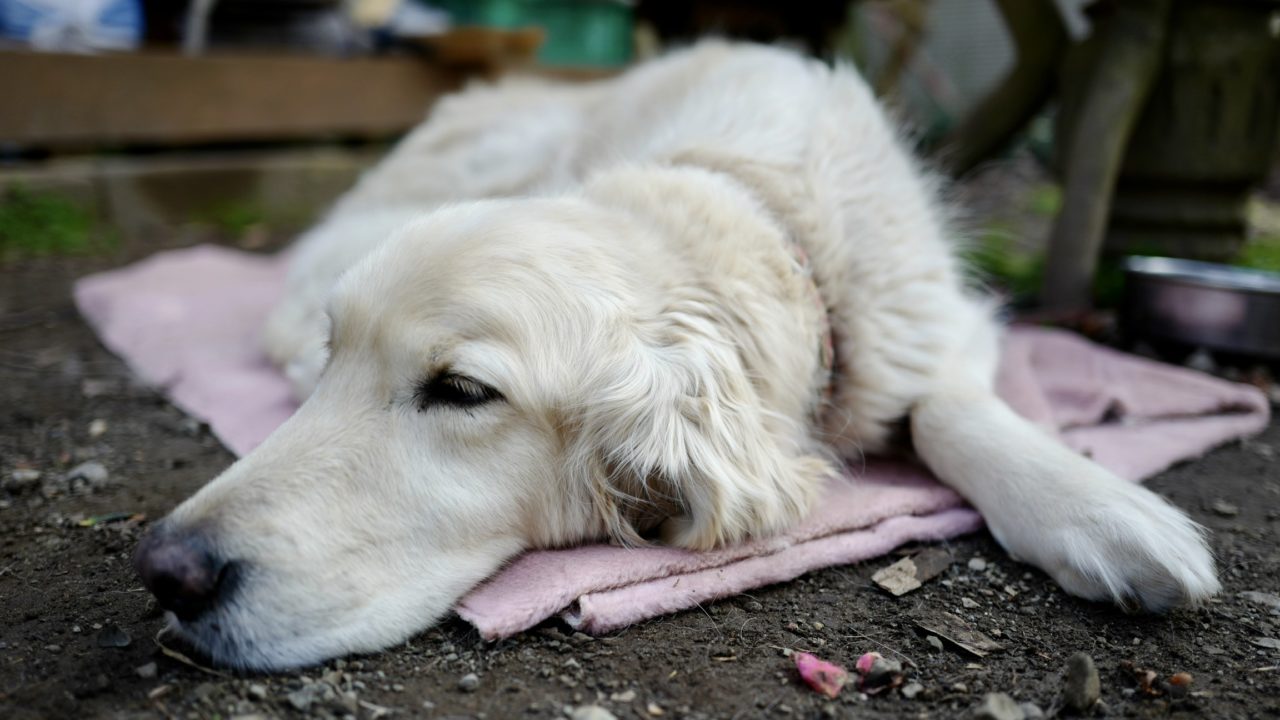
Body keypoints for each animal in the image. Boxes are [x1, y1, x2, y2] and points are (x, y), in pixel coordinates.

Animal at [135, 43, 1213, 666]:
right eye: (341, 360)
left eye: (462, 390)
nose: (164, 571)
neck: (754, 206)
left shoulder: (939, 320)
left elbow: (948, 408)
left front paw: (1102, 511)